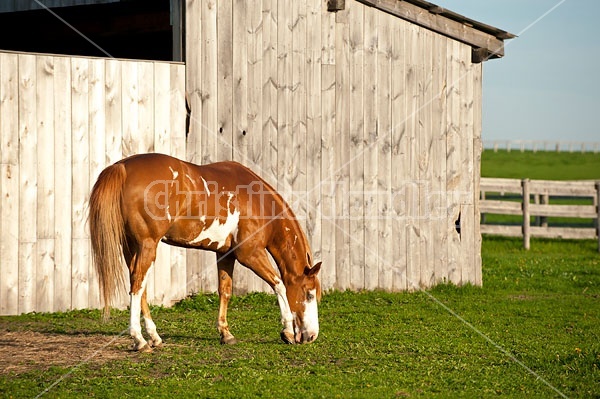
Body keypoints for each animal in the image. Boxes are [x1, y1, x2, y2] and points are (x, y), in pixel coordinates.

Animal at [89, 154, 322, 354]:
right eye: (309, 294)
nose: (311, 336)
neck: (258, 202)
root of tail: (122, 167)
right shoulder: (250, 254)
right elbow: (279, 285)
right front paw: (287, 331)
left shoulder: (225, 254)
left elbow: (225, 291)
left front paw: (225, 334)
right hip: (147, 245)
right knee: (137, 286)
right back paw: (139, 339)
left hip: (131, 246)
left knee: (138, 286)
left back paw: (154, 337)